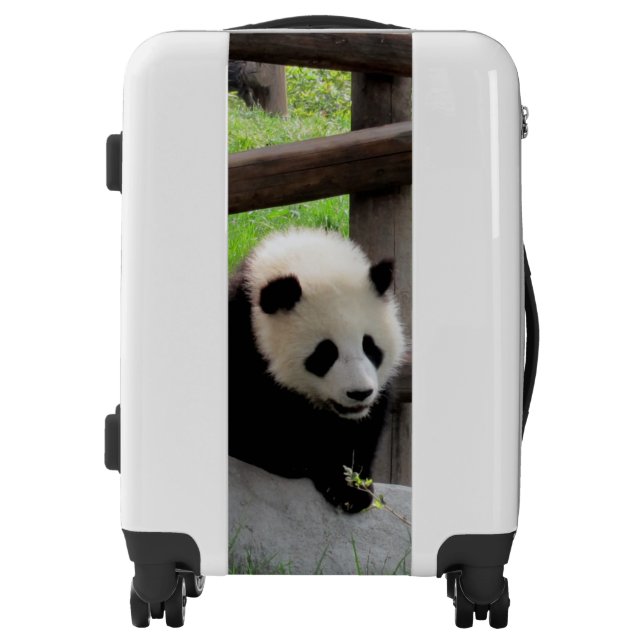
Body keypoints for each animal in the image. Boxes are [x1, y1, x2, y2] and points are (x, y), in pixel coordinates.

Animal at [229, 227, 406, 513]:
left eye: (370, 346)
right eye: (325, 354)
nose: (359, 393)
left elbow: (363, 428)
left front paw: (350, 489)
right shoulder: (243, 343)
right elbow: (255, 423)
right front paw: (297, 462)